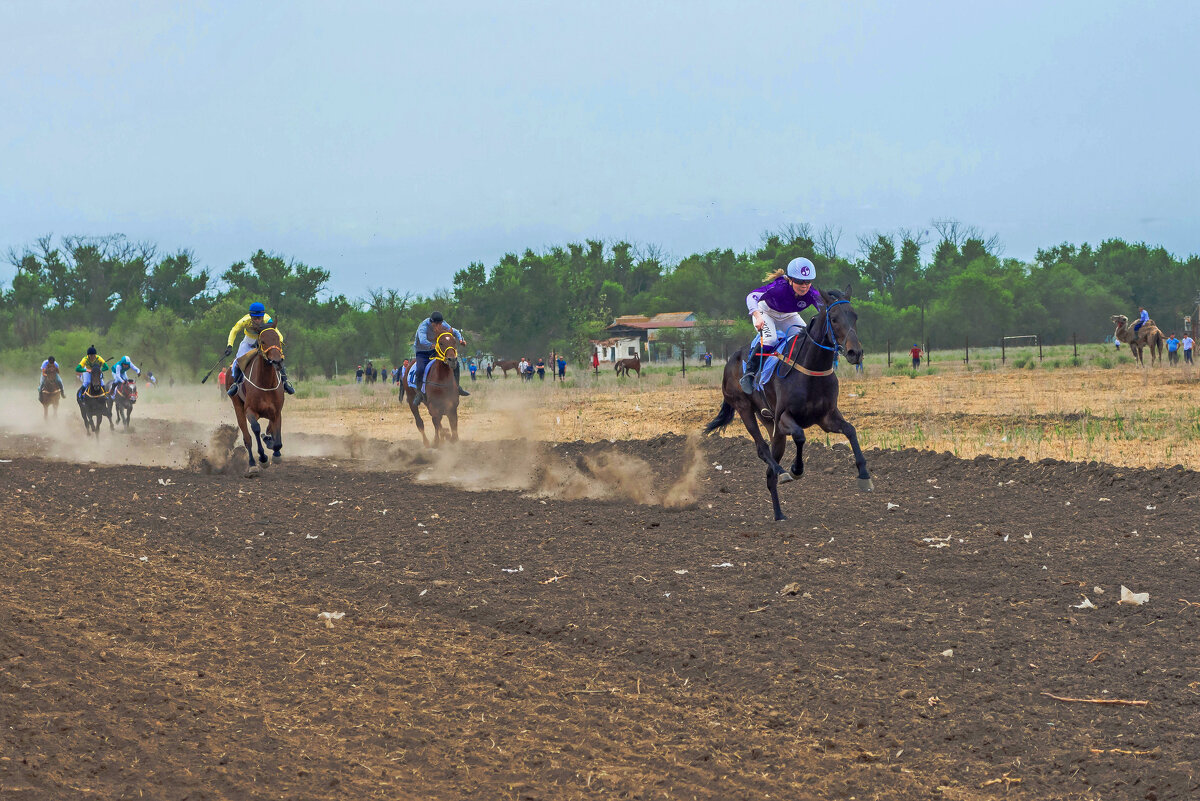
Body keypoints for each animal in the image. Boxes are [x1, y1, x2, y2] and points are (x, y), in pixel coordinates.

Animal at [230, 323, 286, 470]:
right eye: (263, 341)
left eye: (278, 339)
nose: (277, 362)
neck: (266, 384)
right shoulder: (250, 410)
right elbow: (256, 428)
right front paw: (263, 457)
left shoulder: (277, 411)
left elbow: (275, 435)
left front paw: (273, 447)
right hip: (238, 406)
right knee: (247, 438)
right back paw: (252, 463)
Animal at [700, 286, 873, 520]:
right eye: (834, 319)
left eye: (855, 316)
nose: (856, 353)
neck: (810, 369)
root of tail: (731, 360)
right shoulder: (784, 417)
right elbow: (800, 436)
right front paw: (796, 469)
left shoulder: (826, 417)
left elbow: (851, 430)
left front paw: (864, 475)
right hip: (744, 408)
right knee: (762, 449)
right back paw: (782, 473)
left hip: (770, 423)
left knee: (769, 471)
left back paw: (779, 514)